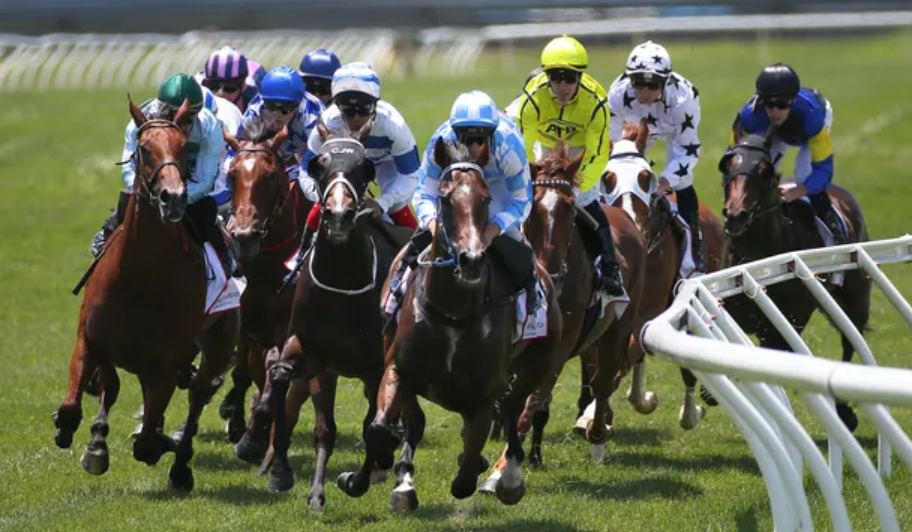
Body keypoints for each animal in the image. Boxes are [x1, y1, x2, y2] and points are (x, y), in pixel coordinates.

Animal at [53, 98, 239, 491]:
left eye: (183, 148)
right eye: (144, 149)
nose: (174, 199)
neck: (140, 276)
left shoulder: (167, 361)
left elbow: (149, 440)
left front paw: (163, 447)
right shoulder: (91, 340)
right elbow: (76, 405)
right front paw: (86, 439)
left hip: (219, 342)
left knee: (199, 393)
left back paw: (181, 464)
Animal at [241, 122, 412, 511]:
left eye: (365, 167)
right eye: (318, 164)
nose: (337, 214)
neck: (342, 284)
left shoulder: (377, 366)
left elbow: (374, 425)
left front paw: (360, 478)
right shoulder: (313, 353)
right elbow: (285, 383)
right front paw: (281, 471)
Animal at [336, 138, 563, 511]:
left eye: (485, 198)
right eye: (444, 197)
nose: (471, 260)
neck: (453, 313)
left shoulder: (484, 395)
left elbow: (467, 470)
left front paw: (488, 472)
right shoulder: (398, 369)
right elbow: (380, 428)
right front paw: (360, 478)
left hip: (538, 362)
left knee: (512, 410)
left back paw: (508, 478)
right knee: (417, 423)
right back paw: (403, 481)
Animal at [512, 141, 646, 465]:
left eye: (569, 207)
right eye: (532, 207)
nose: (549, 268)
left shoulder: (562, 342)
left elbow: (534, 396)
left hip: (619, 325)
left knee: (603, 380)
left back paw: (597, 432)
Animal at [720, 126, 871, 431]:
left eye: (764, 170)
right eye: (728, 164)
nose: (736, 216)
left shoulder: (788, 322)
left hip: (856, 300)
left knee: (851, 340)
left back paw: (843, 410)